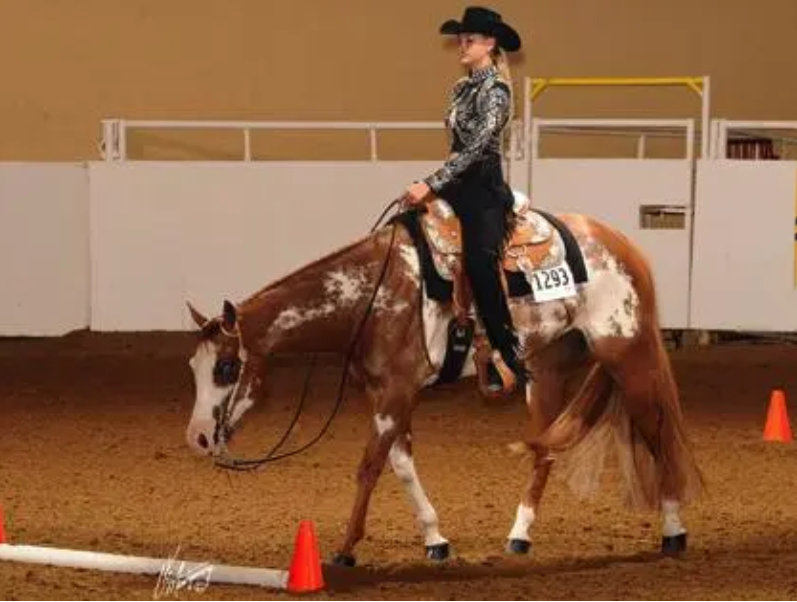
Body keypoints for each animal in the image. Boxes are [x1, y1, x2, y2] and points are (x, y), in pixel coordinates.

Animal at [183, 190, 704, 567]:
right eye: (194, 367)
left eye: (226, 367)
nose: (199, 438)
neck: (375, 292)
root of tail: (622, 244)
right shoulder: (387, 394)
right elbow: (401, 464)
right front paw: (435, 539)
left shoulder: (396, 392)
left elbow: (369, 467)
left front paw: (346, 549)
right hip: (547, 371)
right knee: (545, 450)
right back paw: (519, 536)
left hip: (628, 354)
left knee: (658, 432)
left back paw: (673, 530)